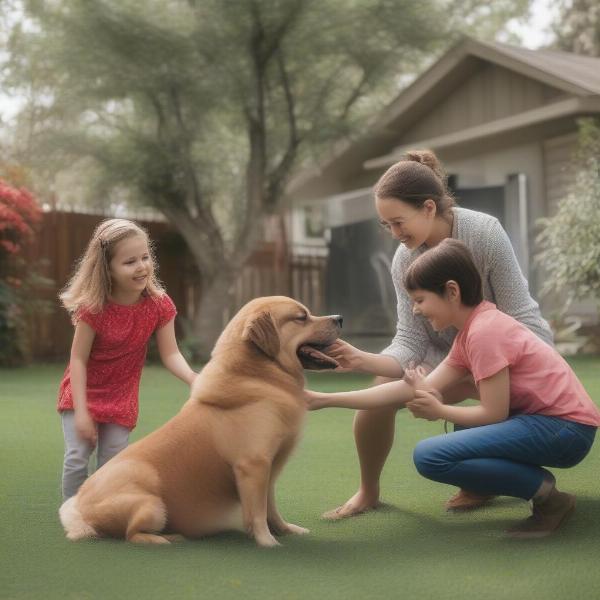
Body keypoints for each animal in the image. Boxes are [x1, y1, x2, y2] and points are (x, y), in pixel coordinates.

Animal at [61, 298, 344, 548]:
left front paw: (285, 530)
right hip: (152, 506)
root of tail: (79, 510)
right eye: (301, 317)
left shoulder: (269, 469)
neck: (260, 377)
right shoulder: (252, 465)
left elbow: (270, 509)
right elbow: (257, 512)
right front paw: (267, 542)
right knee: (132, 535)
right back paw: (164, 539)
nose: (339, 318)